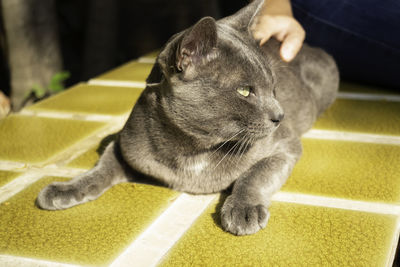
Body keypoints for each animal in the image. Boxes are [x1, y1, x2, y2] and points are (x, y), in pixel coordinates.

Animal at [36, 0, 338, 236]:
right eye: (245, 90)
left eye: (274, 88)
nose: (280, 115)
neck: (194, 149)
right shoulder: (126, 145)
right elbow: (101, 168)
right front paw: (63, 190)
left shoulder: (285, 146)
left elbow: (255, 175)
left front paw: (243, 210)